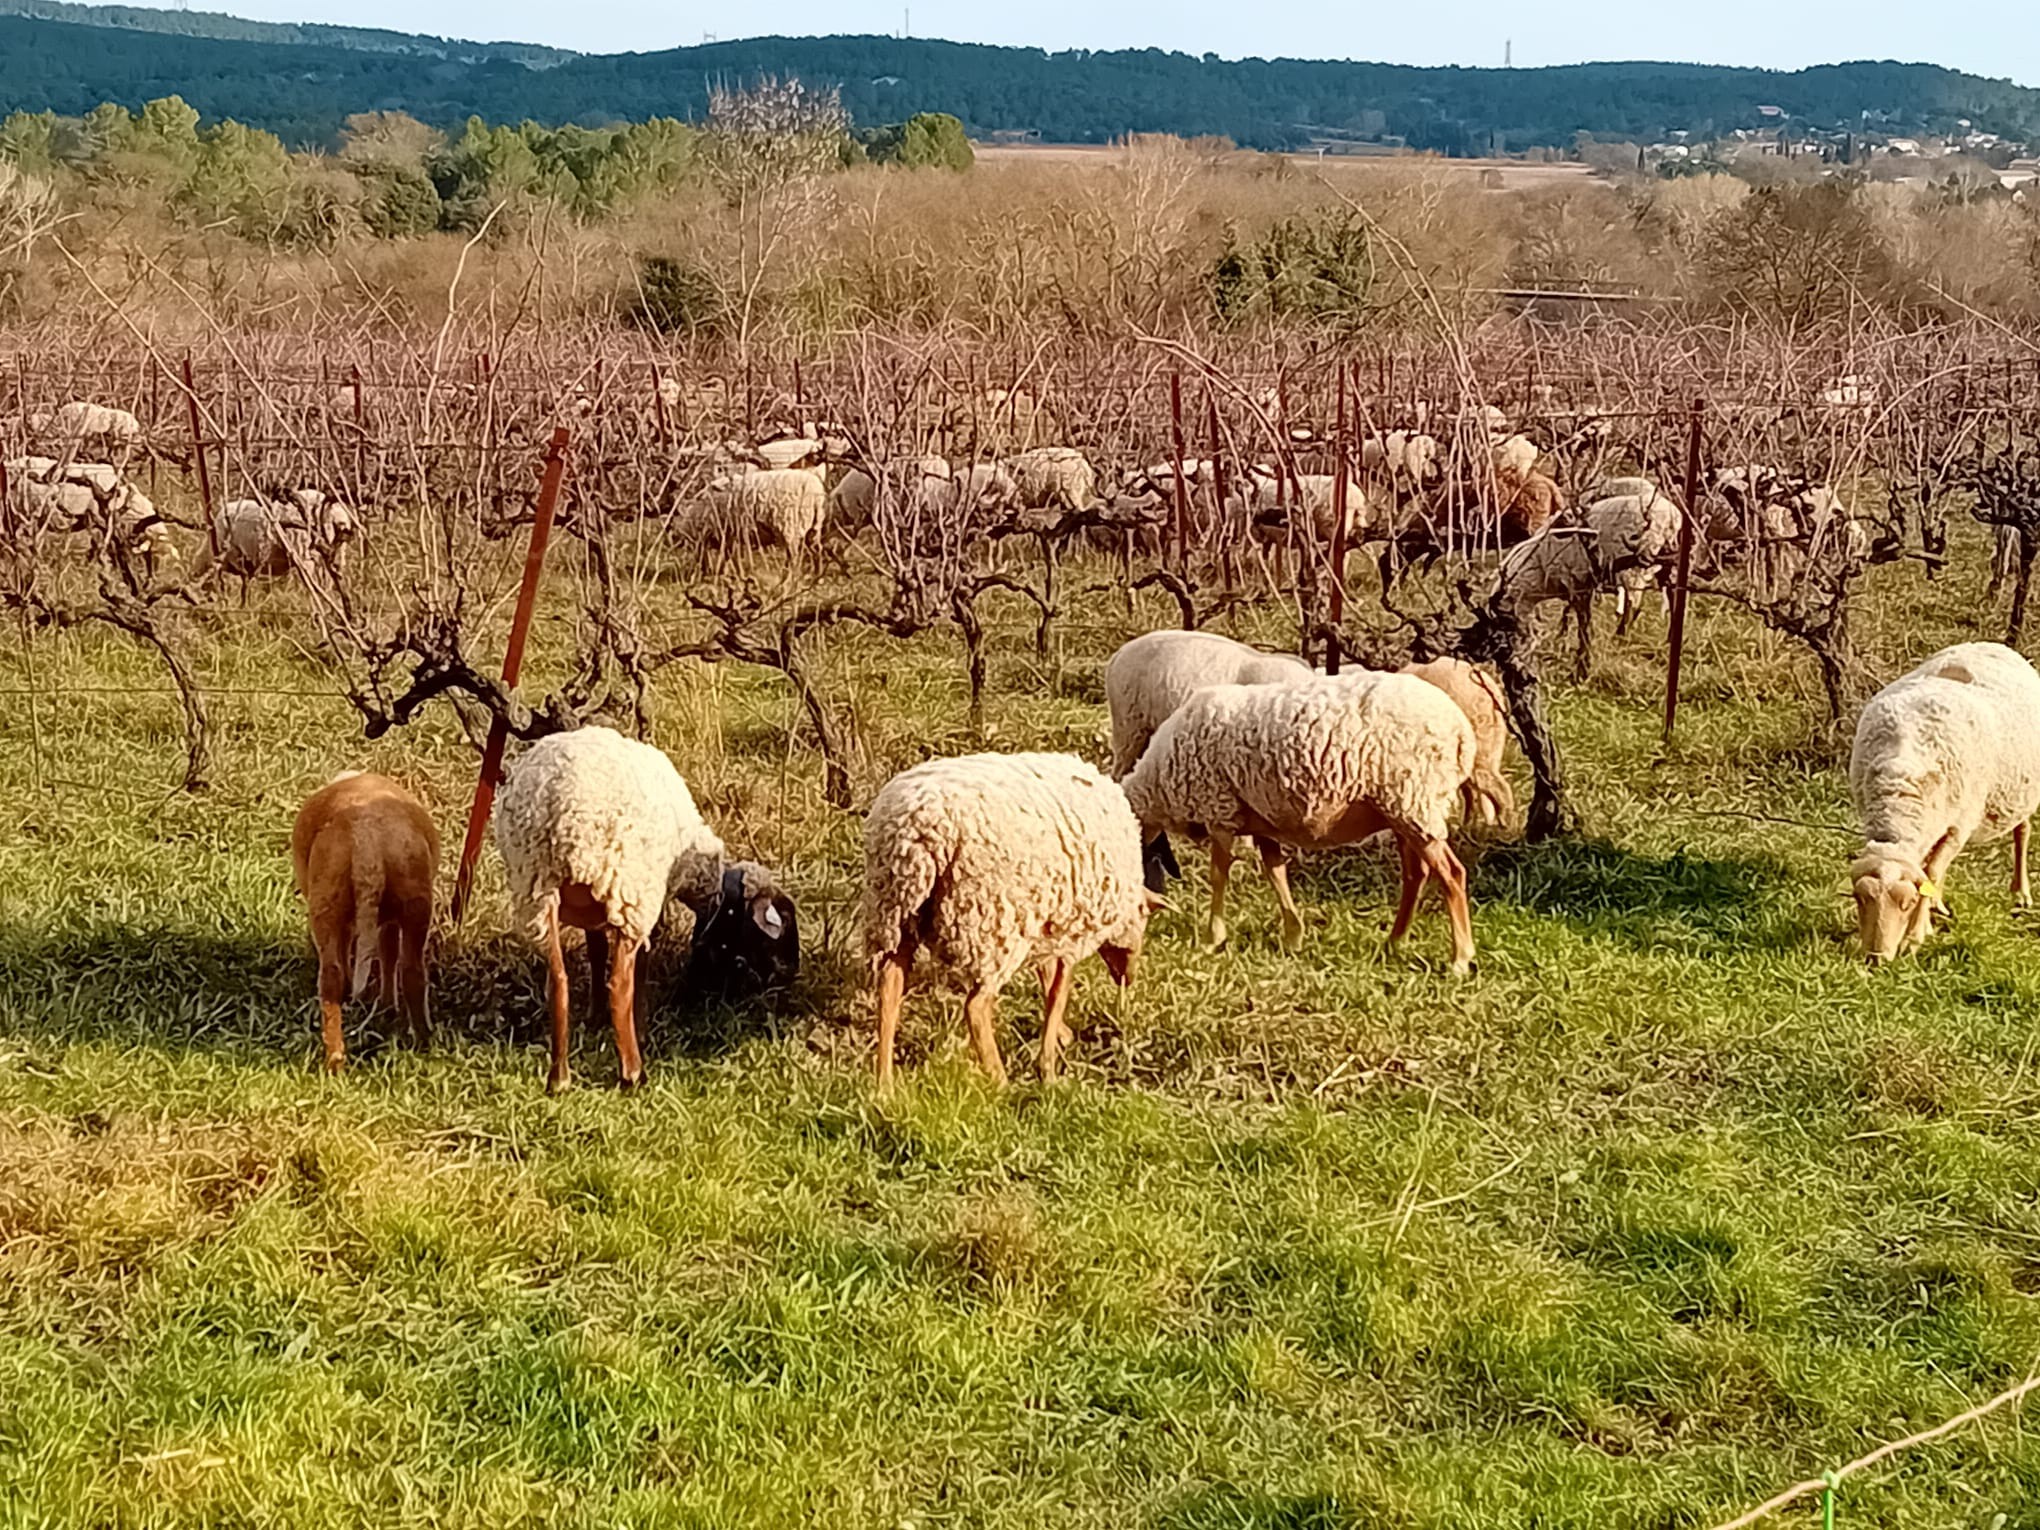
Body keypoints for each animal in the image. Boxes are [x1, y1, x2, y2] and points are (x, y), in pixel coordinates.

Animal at [291, 771, 438, 1074]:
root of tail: (367, 841)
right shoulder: (388, 919)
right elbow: (388, 952)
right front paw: (387, 1006)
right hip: (415, 896)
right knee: (412, 970)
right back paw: (422, 1041)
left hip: (326, 899)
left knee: (331, 976)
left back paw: (334, 1059)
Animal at [496, 726, 797, 1091]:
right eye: (778, 927)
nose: (791, 972)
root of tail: (559, 811)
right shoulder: (642, 902)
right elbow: (640, 966)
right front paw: (638, 1024)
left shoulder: (596, 909)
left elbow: (596, 953)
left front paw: (595, 1018)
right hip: (628, 889)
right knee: (619, 985)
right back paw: (632, 1071)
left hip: (538, 892)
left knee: (558, 981)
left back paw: (560, 1078)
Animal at [863, 751, 1158, 1085]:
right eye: (1144, 918)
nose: (1127, 980)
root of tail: (916, 831)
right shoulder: (1073, 933)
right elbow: (1058, 992)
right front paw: (1049, 1068)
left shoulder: (1047, 923)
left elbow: (1047, 978)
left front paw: (1060, 1038)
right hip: (988, 925)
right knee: (976, 1007)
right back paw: (1000, 1080)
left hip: (895, 912)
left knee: (889, 988)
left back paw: (884, 1083)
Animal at [1120, 670, 1477, 969]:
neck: (1158, 783)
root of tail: (1462, 732)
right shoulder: (1261, 820)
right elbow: (1275, 872)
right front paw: (1293, 935)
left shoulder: (1220, 810)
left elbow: (1218, 875)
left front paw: (1212, 937)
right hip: (1405, 808)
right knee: (1416, 874)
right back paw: (1394, 942)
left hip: (1414, 799)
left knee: (1452, 873)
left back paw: (1460, 958)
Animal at [1850, 642, 2040, 964]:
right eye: (1859, 898)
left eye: (1907, 903)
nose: (1876, 958)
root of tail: (1988, 644)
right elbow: (1930, 873)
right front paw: (1928, 919)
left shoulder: (1958, 827)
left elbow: (1932, 874)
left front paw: (1915, 938)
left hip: (2022, 791)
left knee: (2022, 831)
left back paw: (2020, 893)